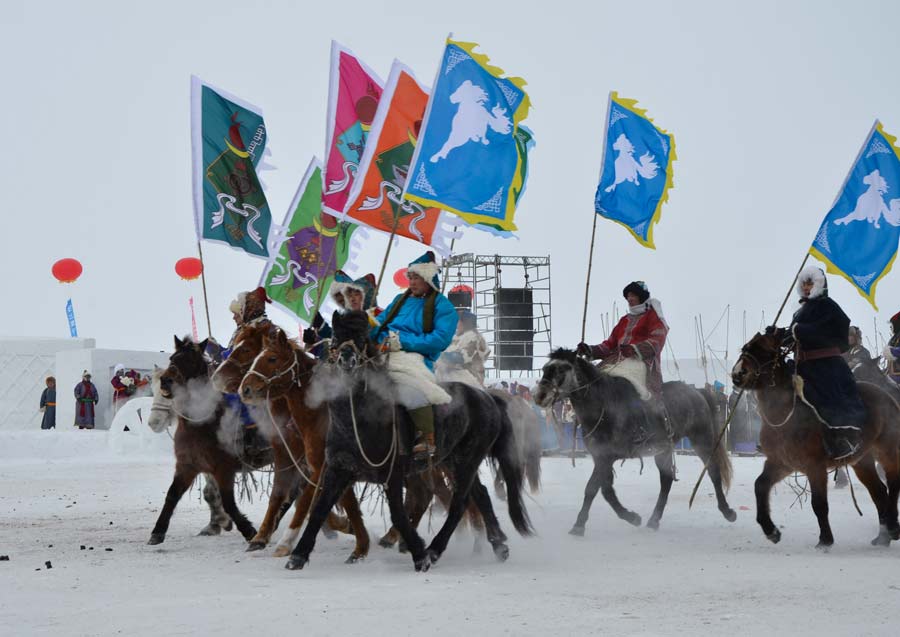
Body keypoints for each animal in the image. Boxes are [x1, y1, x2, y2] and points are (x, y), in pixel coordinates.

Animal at [211, 320, 352, 556]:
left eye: (246, 349)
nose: (216, 379)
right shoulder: (286, 452)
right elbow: (281, 492)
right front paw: (261, 536)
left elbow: (305, 494)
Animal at [284, 310, 532, 572]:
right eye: (336, 336)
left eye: (361, 337)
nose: (347, 359)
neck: (359, 419)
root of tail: (487, 397)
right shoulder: (337, 469)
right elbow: (319, 509)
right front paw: (298, 555)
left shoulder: (392, 474)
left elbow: (398, 514)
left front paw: (419, 553)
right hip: (456, 461)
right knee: (480, 495)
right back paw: (498, 544)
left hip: (466, 461)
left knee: (459, 504)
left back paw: (434, 549)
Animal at [536, 350, 732, 536]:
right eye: (545, 368)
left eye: (562, 369)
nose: (540, 396)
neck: (602, 406)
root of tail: (697, 392)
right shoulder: (600, 457)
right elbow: (606, 490)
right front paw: (631, 517)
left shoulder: (605, 458)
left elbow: (592, 488)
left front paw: (579, 525)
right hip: (663, 449)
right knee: (666, 479)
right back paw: (653, 520)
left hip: (702, 438)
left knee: (713, 471)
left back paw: (727, 511)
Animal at [732, 332, 900, 548]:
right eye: (745, 348)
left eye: (763, 351)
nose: (737, 374)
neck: (786, 414)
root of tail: (887, 397)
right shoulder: (781, 463)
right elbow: (760, 486)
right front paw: (771, 530)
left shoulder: (815, 467)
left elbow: (819, 504)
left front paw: (825, 540)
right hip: (862, 460)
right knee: (879, 491)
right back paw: (883, 536)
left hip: (887, 449)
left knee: (893, 482)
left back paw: (893, 526)